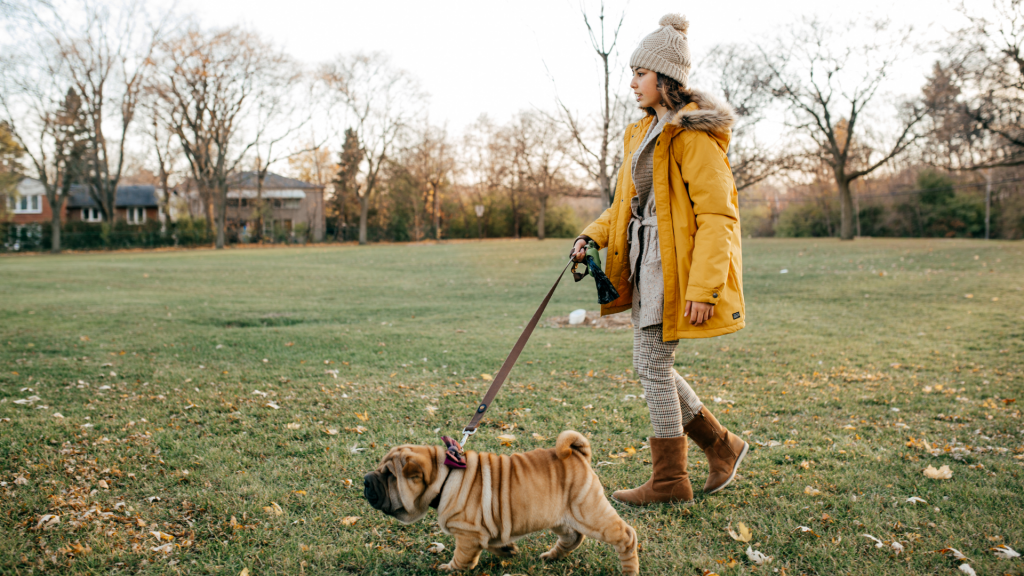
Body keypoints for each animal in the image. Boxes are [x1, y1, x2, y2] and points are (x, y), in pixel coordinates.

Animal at [364, 428, 634, 569]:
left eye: (389, 475)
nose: (366, 480)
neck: (446, 475)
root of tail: (579, 455)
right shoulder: (485, 529)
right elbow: (494, 543)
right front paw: (508, 550)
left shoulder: (468, 534)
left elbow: (462, 558)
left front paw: (449, 569)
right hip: (559, 516)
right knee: (573, 538)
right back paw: (550, 557)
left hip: (590, 512)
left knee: (626, 537)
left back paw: (630, 568)